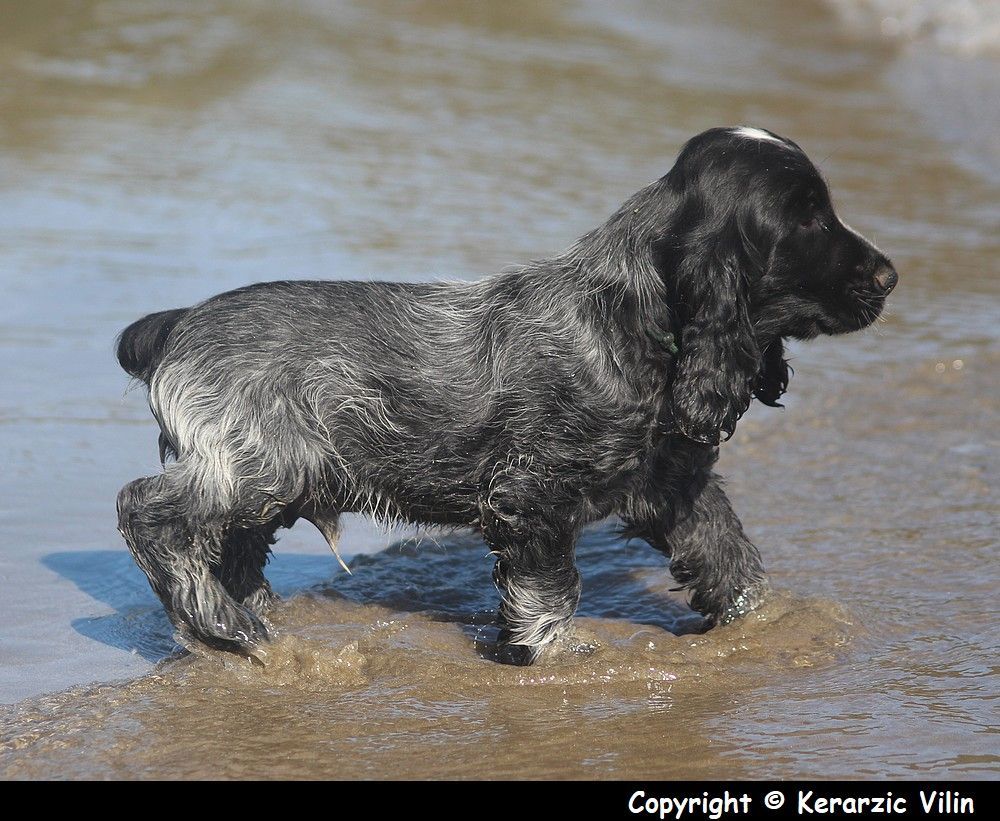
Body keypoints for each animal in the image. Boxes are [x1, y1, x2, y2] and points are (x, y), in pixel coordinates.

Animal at [117, 130, 900, 668]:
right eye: (807, 219)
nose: (891, 275)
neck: (626, 318)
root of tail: (176, 322)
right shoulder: (532, 494)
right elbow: (550, 593)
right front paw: (557, 661)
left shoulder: (670, 483)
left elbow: (731, 559)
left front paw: (770, 626)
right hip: (258, 464)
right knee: (146, 510)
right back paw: (224, 624)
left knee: (231, 550)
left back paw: (241, 623)